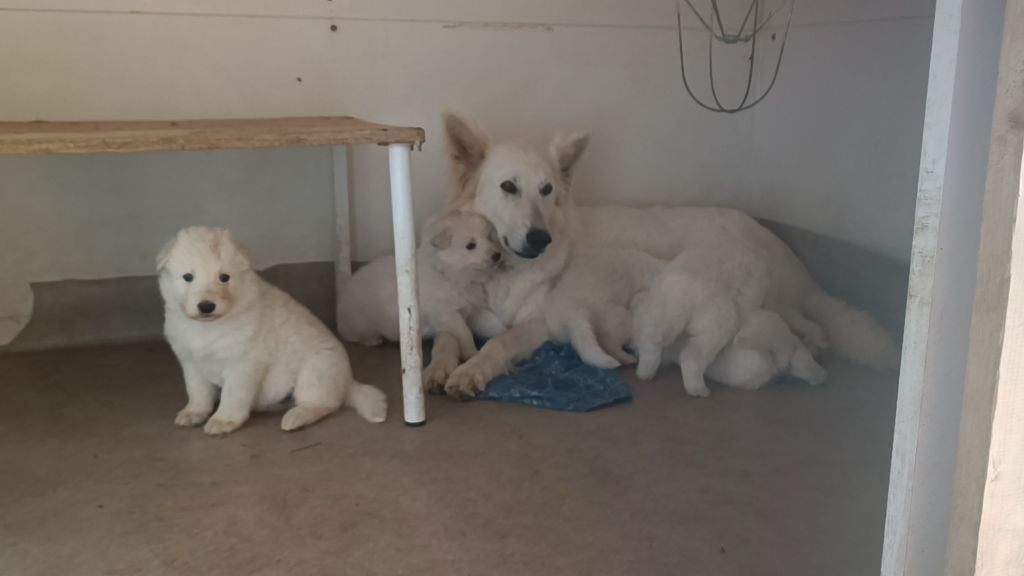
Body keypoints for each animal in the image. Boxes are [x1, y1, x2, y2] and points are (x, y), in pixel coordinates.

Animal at [157, 226, 385, 432]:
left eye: (224, 277)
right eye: (188, 277)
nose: (206, 306)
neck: (209, 326)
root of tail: (347, 382)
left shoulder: (243, 364)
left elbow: (232, 394)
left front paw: (223, 420)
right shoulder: (190, 362)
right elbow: (197, 391)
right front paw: (194, 413)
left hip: (316, 370)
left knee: (323, 403)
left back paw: (297, 416)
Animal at [432, 112, 897, 399]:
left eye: (546, 190)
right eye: (508, 187)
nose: (540, 238)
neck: (500, 272)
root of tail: (766, 231)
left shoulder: (539, 324)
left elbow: (500, 341)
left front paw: (471, 370)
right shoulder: (459, 312)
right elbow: (447, 336)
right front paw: (438, 368)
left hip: (767, 298)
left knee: (813, 325)